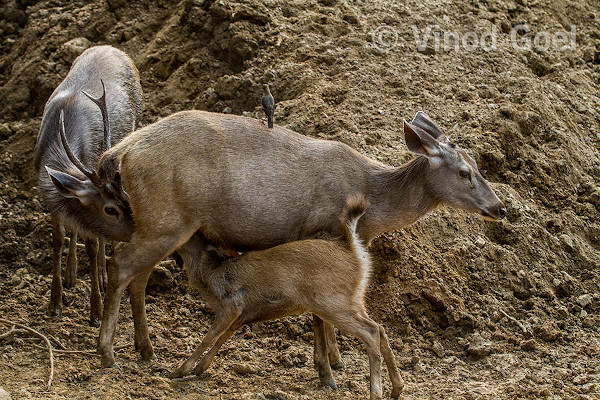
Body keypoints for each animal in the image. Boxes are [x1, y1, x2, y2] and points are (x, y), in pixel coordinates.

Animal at [34, 44, 142, 324]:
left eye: (128, 200)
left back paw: (102, 275)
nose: (137, 232)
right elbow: (58, 239)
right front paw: (55, 301)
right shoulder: (51, 198)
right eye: (109, 209)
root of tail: (112, 47)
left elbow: (93, 247)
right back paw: (71, 273)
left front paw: (96, 311)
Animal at [95, 108, 506, 368]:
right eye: (465, 172)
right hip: (167, 219)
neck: (373, 201)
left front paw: (335, 361)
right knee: (120, 264)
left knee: (139, 277)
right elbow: (319, 313)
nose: (500, 208)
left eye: (479, 166)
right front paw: (330, 365)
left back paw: (145, 350)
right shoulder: (322, 229)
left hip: (160, 222)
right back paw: (108, 354)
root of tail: (122, 151)